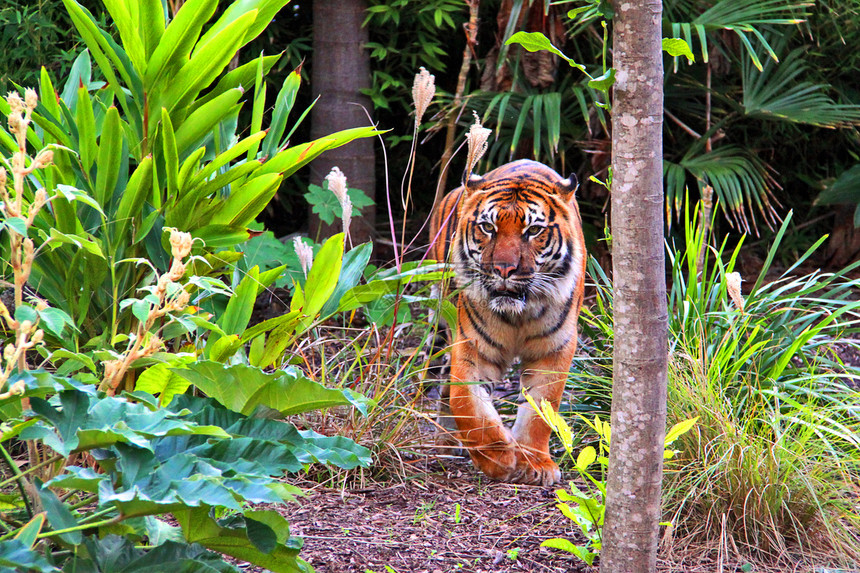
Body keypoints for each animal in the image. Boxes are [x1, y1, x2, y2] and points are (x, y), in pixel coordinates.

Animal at [428, 159, 588, 484]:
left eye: (534, 230)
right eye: (488, 227)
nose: (504, 269)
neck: (519, 314)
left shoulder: (554, 350)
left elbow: (542, 409)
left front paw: (536, 464)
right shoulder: (473, 347)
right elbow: (467, 404)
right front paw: (499, 458)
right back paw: (447, 442)